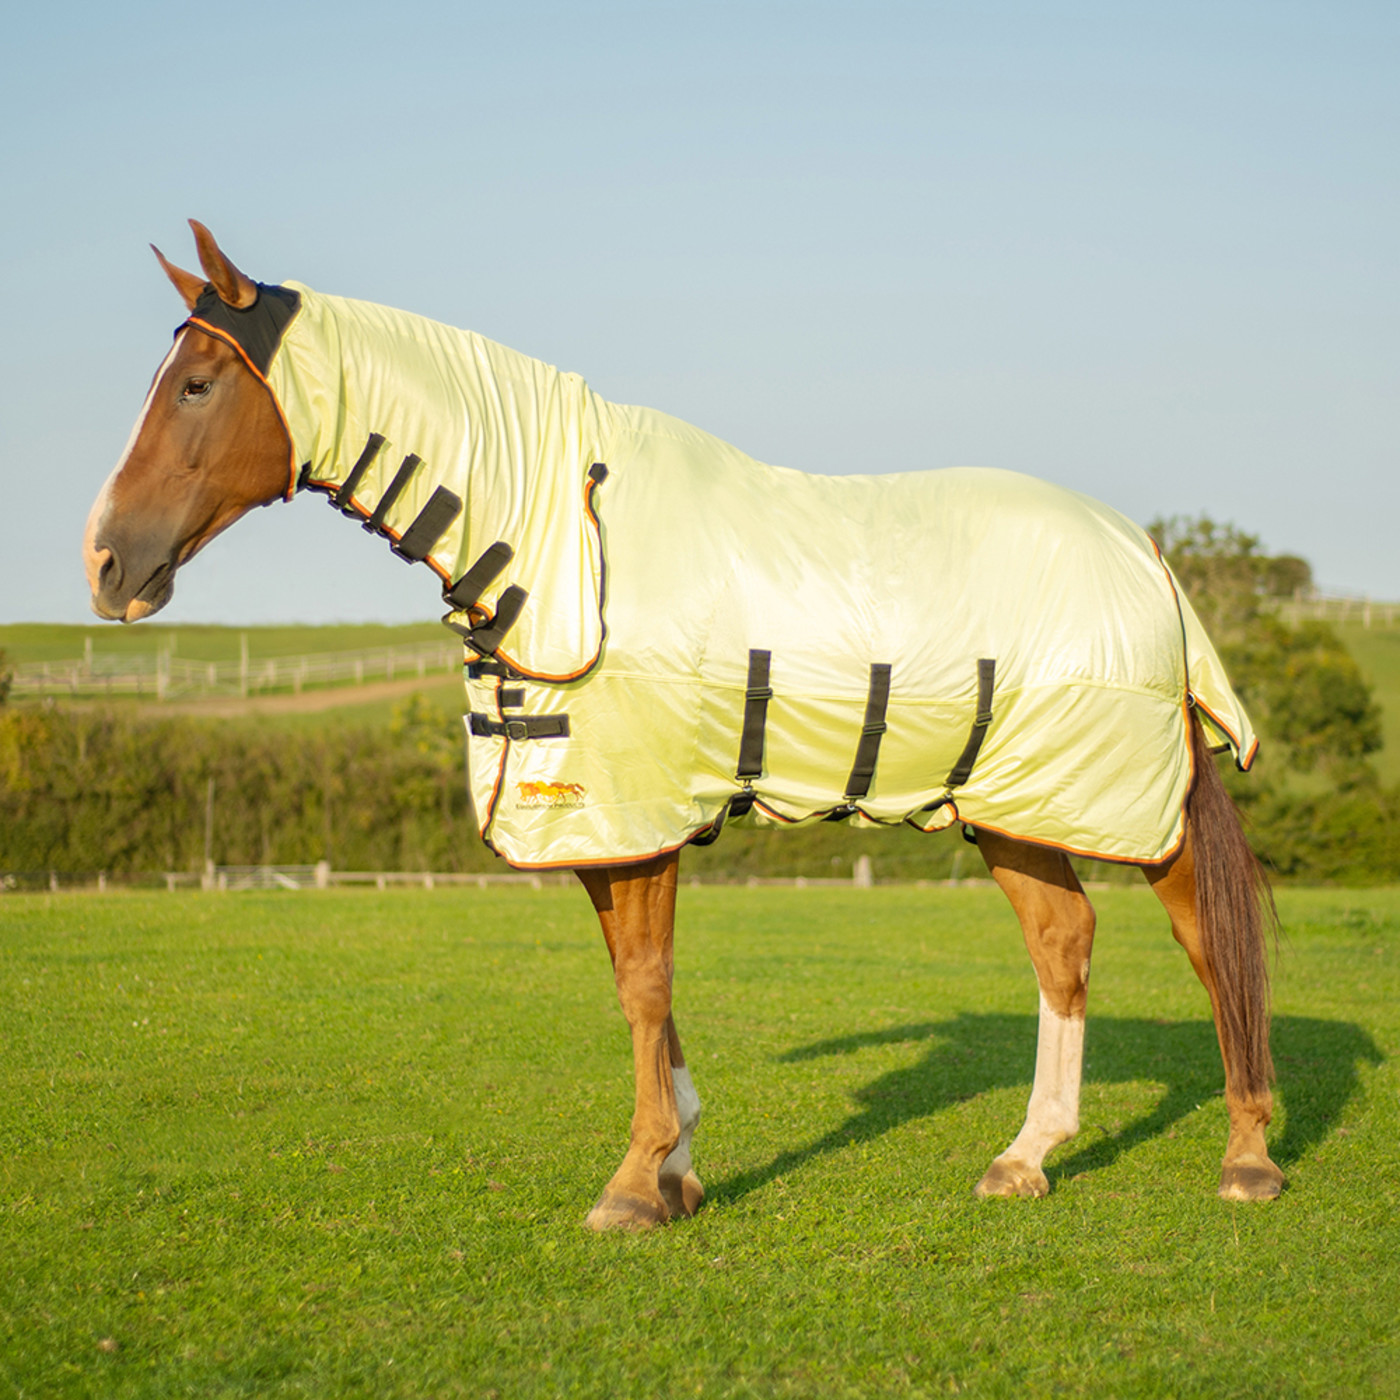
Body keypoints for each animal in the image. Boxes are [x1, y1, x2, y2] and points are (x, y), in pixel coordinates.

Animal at [83, 222, 1283, 1228]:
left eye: (196, 384)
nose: (106, 563)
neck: (567, 539)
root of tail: (1143, 554)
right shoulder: (595, 820)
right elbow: (637, 983)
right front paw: (678, 1167)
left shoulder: (640, 812)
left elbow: (645, 984)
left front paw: (635, 1181)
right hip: (1007, 807)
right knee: (1062, 941)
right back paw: (1026, 1155)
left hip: (1132, 807)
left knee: (1208, 940)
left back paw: (1248, 1156)